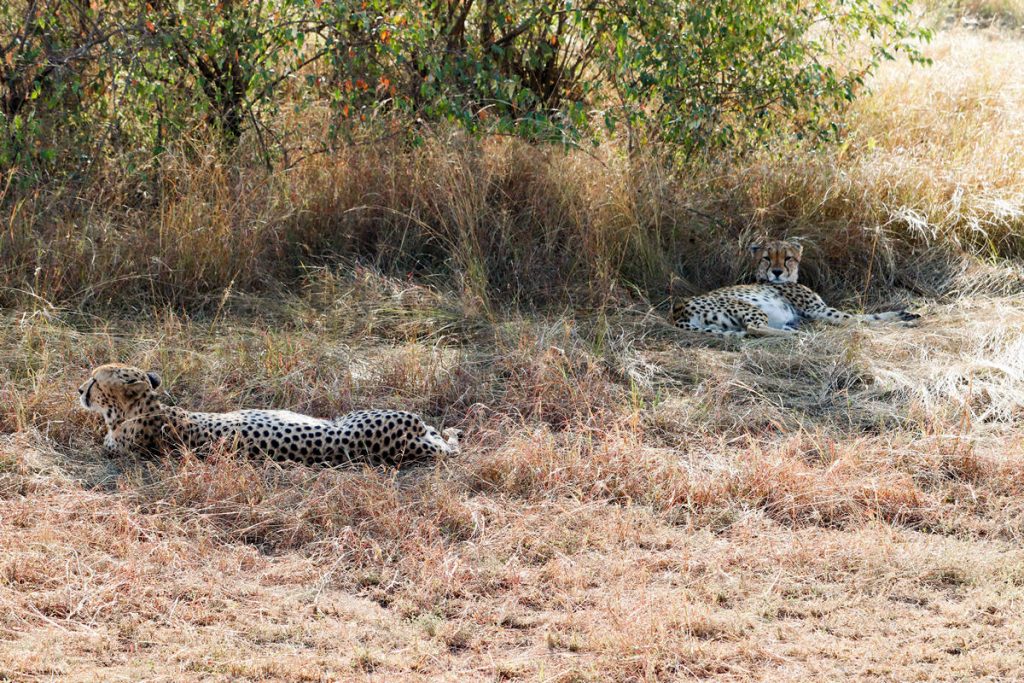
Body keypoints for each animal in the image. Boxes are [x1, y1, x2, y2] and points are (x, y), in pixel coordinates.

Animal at [671, 240, 921, 339]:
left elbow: (870, 316)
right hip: (748, 307)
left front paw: (904, 314)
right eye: (767, 258)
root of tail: (677, 310)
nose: (777, 272)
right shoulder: (819, 310)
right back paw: (798, 335)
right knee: (754, 328)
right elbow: (858, 319)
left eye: (787, 258)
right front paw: (900, 322)